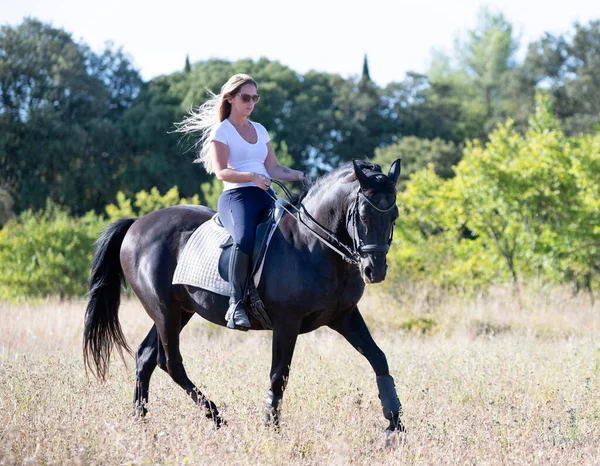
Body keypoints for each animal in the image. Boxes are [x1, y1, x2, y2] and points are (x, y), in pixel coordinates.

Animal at [83, 158, 404, 438]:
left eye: (394, 216)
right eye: (363, 216)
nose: (374, 270)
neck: (312, 244)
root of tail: (137, 224)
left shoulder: (344, 316)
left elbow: (379, 358)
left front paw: (395, 425)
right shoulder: (287, 323)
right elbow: (278, 375)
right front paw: (271, 429)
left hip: (180, 310)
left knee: (146, 357)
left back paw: (141, 422)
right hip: (164, 311)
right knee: (170, 362)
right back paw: (217, 417)